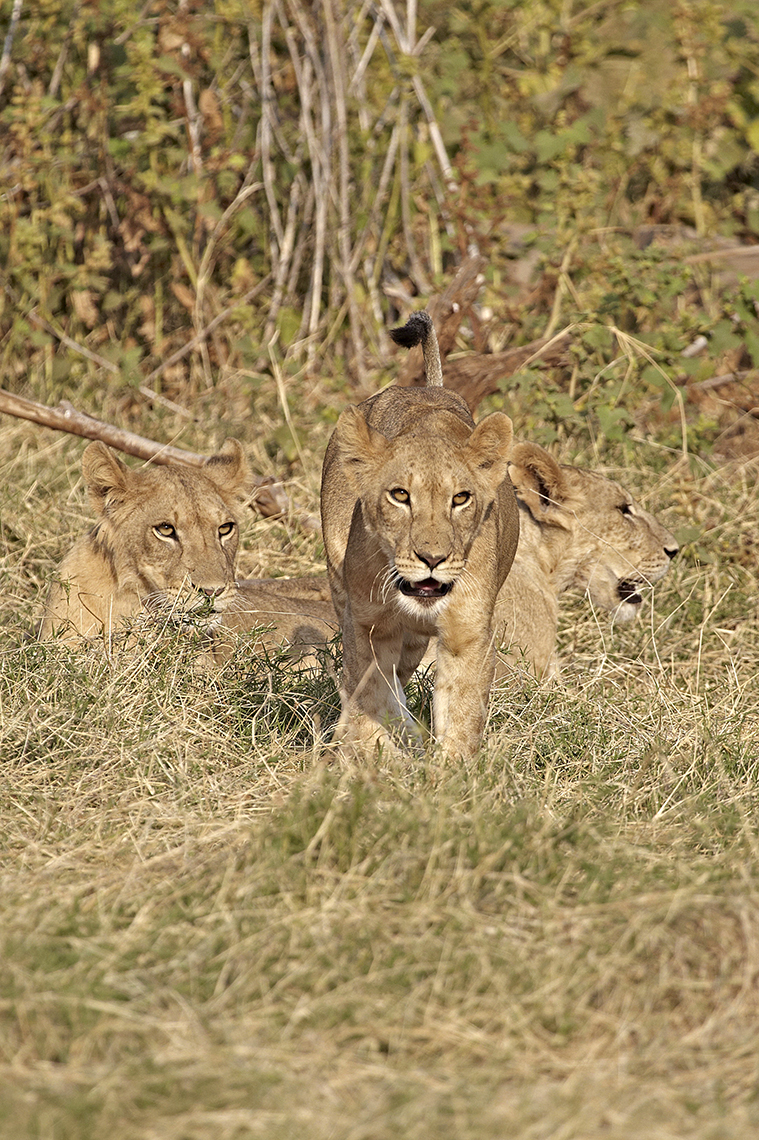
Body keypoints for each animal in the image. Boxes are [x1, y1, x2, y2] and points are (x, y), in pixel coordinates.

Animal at [316, 307, 517, 761]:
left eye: (460, 499)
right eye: (400, 495)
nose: (432, 560)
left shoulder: (467, 634)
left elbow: (461, 713)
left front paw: (450, 770)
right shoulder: (368, 623)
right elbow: (371, 690)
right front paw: (375, 752)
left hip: (414, 643)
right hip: (341, 584)